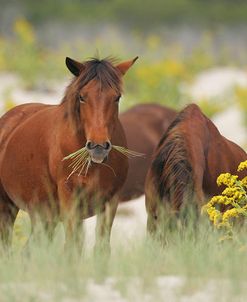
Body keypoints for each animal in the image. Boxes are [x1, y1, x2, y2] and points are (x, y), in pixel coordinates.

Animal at [0, 55, 138, 251]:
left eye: (117, 97)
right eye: (82, 97)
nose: (98, 146)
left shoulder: (110, 201)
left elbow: (101, 248)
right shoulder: (70, 198)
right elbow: (73, 247)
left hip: (43, 216)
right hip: (7, 208)